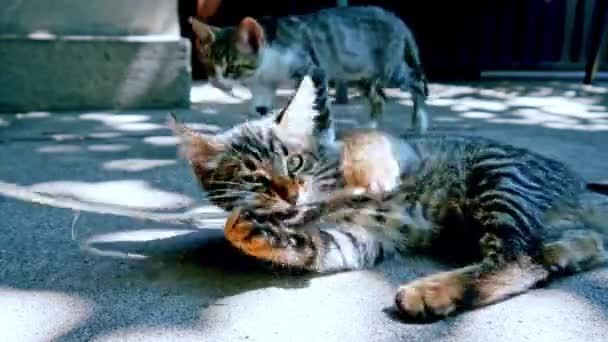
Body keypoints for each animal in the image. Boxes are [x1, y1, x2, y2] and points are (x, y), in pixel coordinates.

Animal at [190, 5, 428, 131]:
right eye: (209, 63)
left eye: (232, 66)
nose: (217, 82)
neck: (265, 68)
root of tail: (395, 18)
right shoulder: (261, 87)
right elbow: (261, 108)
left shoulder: (314, 71)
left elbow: (311, 104)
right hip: (360, 74)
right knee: (378, 98)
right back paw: (371, 127)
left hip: (390, 69)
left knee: (417, 82)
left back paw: (419, 122)